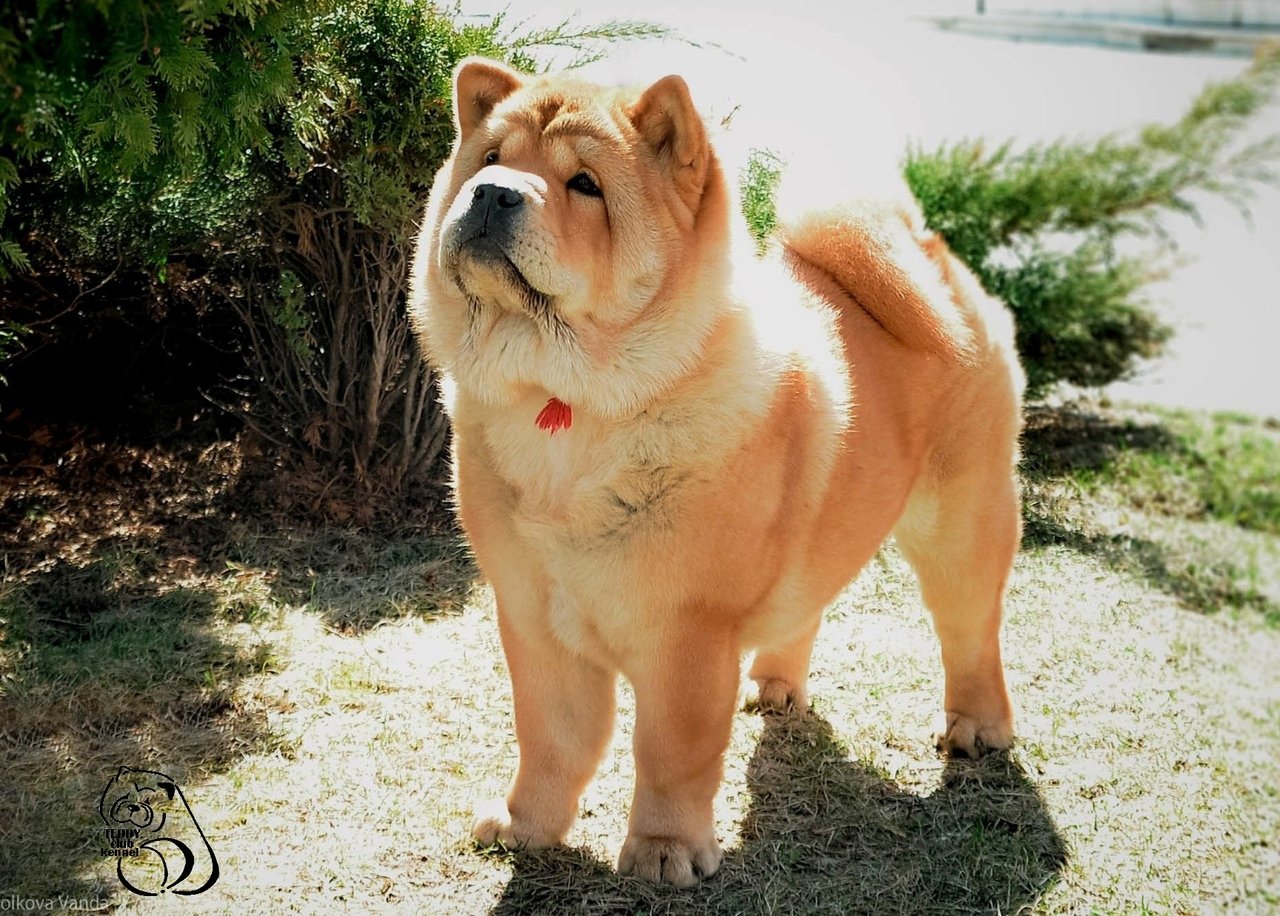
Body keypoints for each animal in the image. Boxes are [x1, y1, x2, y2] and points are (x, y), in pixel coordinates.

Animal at [409, 59, 1029, 885]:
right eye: (487, 160)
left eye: (585, 185)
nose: (492, 193)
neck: (567, 409)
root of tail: (931, 253)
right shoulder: (535, 618)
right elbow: (551, 738)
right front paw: (525, 825)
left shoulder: (687, 635)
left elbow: (671, 750)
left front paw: (663, 852)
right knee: (808, 605)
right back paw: (775, 686)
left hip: (961, 525)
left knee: (970, 629)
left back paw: (977, 730)